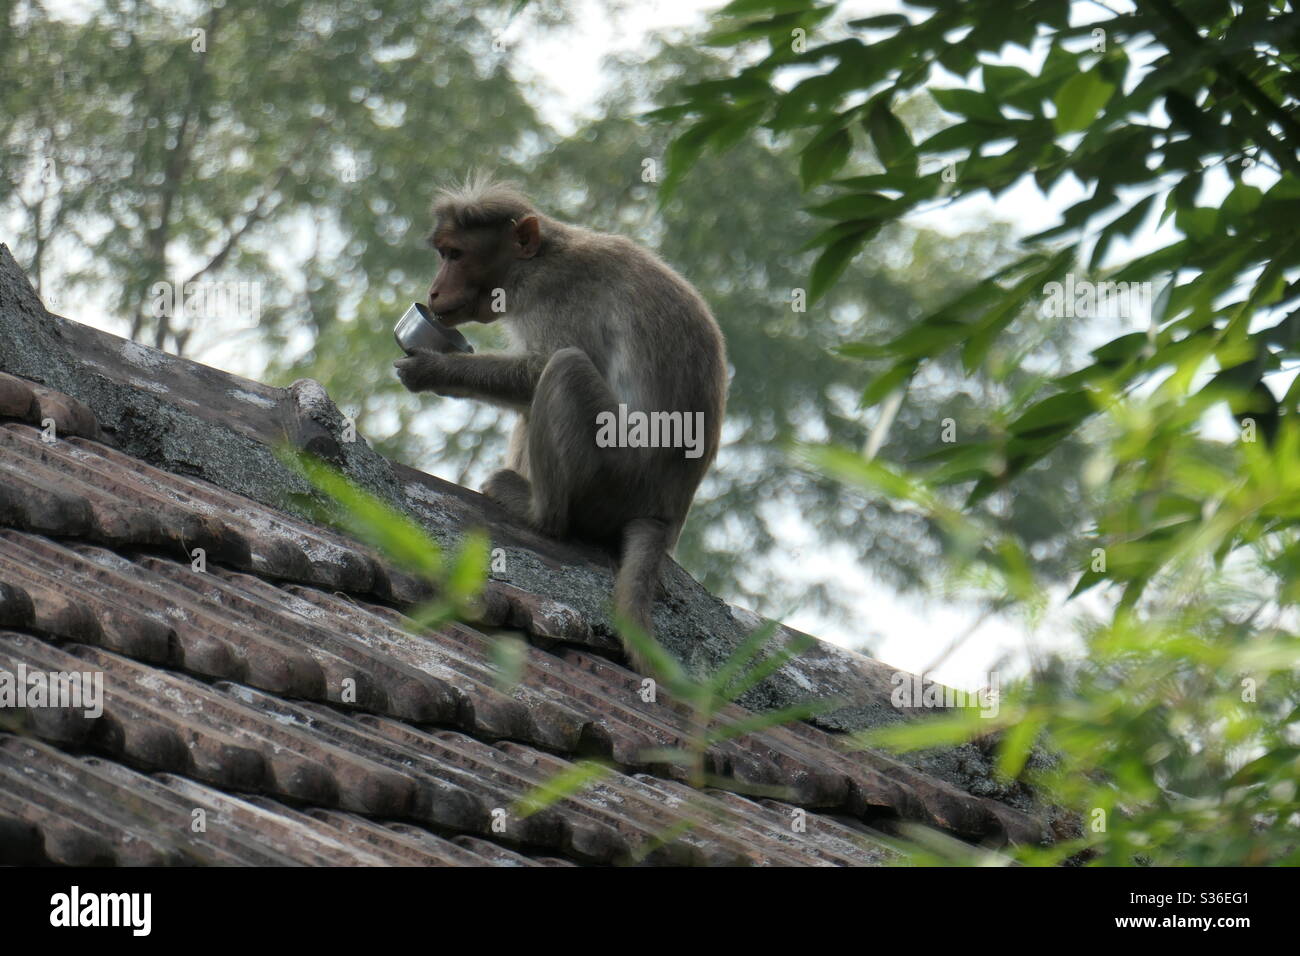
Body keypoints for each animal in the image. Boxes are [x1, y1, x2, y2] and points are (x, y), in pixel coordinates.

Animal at [390, 175, 728, 671]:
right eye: (442, 253)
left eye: (455, 254)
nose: (433, 292)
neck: (538, 259)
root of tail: (665, 513)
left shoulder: (557, 296)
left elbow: (540, 368)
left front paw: (433, 367)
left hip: (616, 476)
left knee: (565, 368)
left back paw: (538, 512)